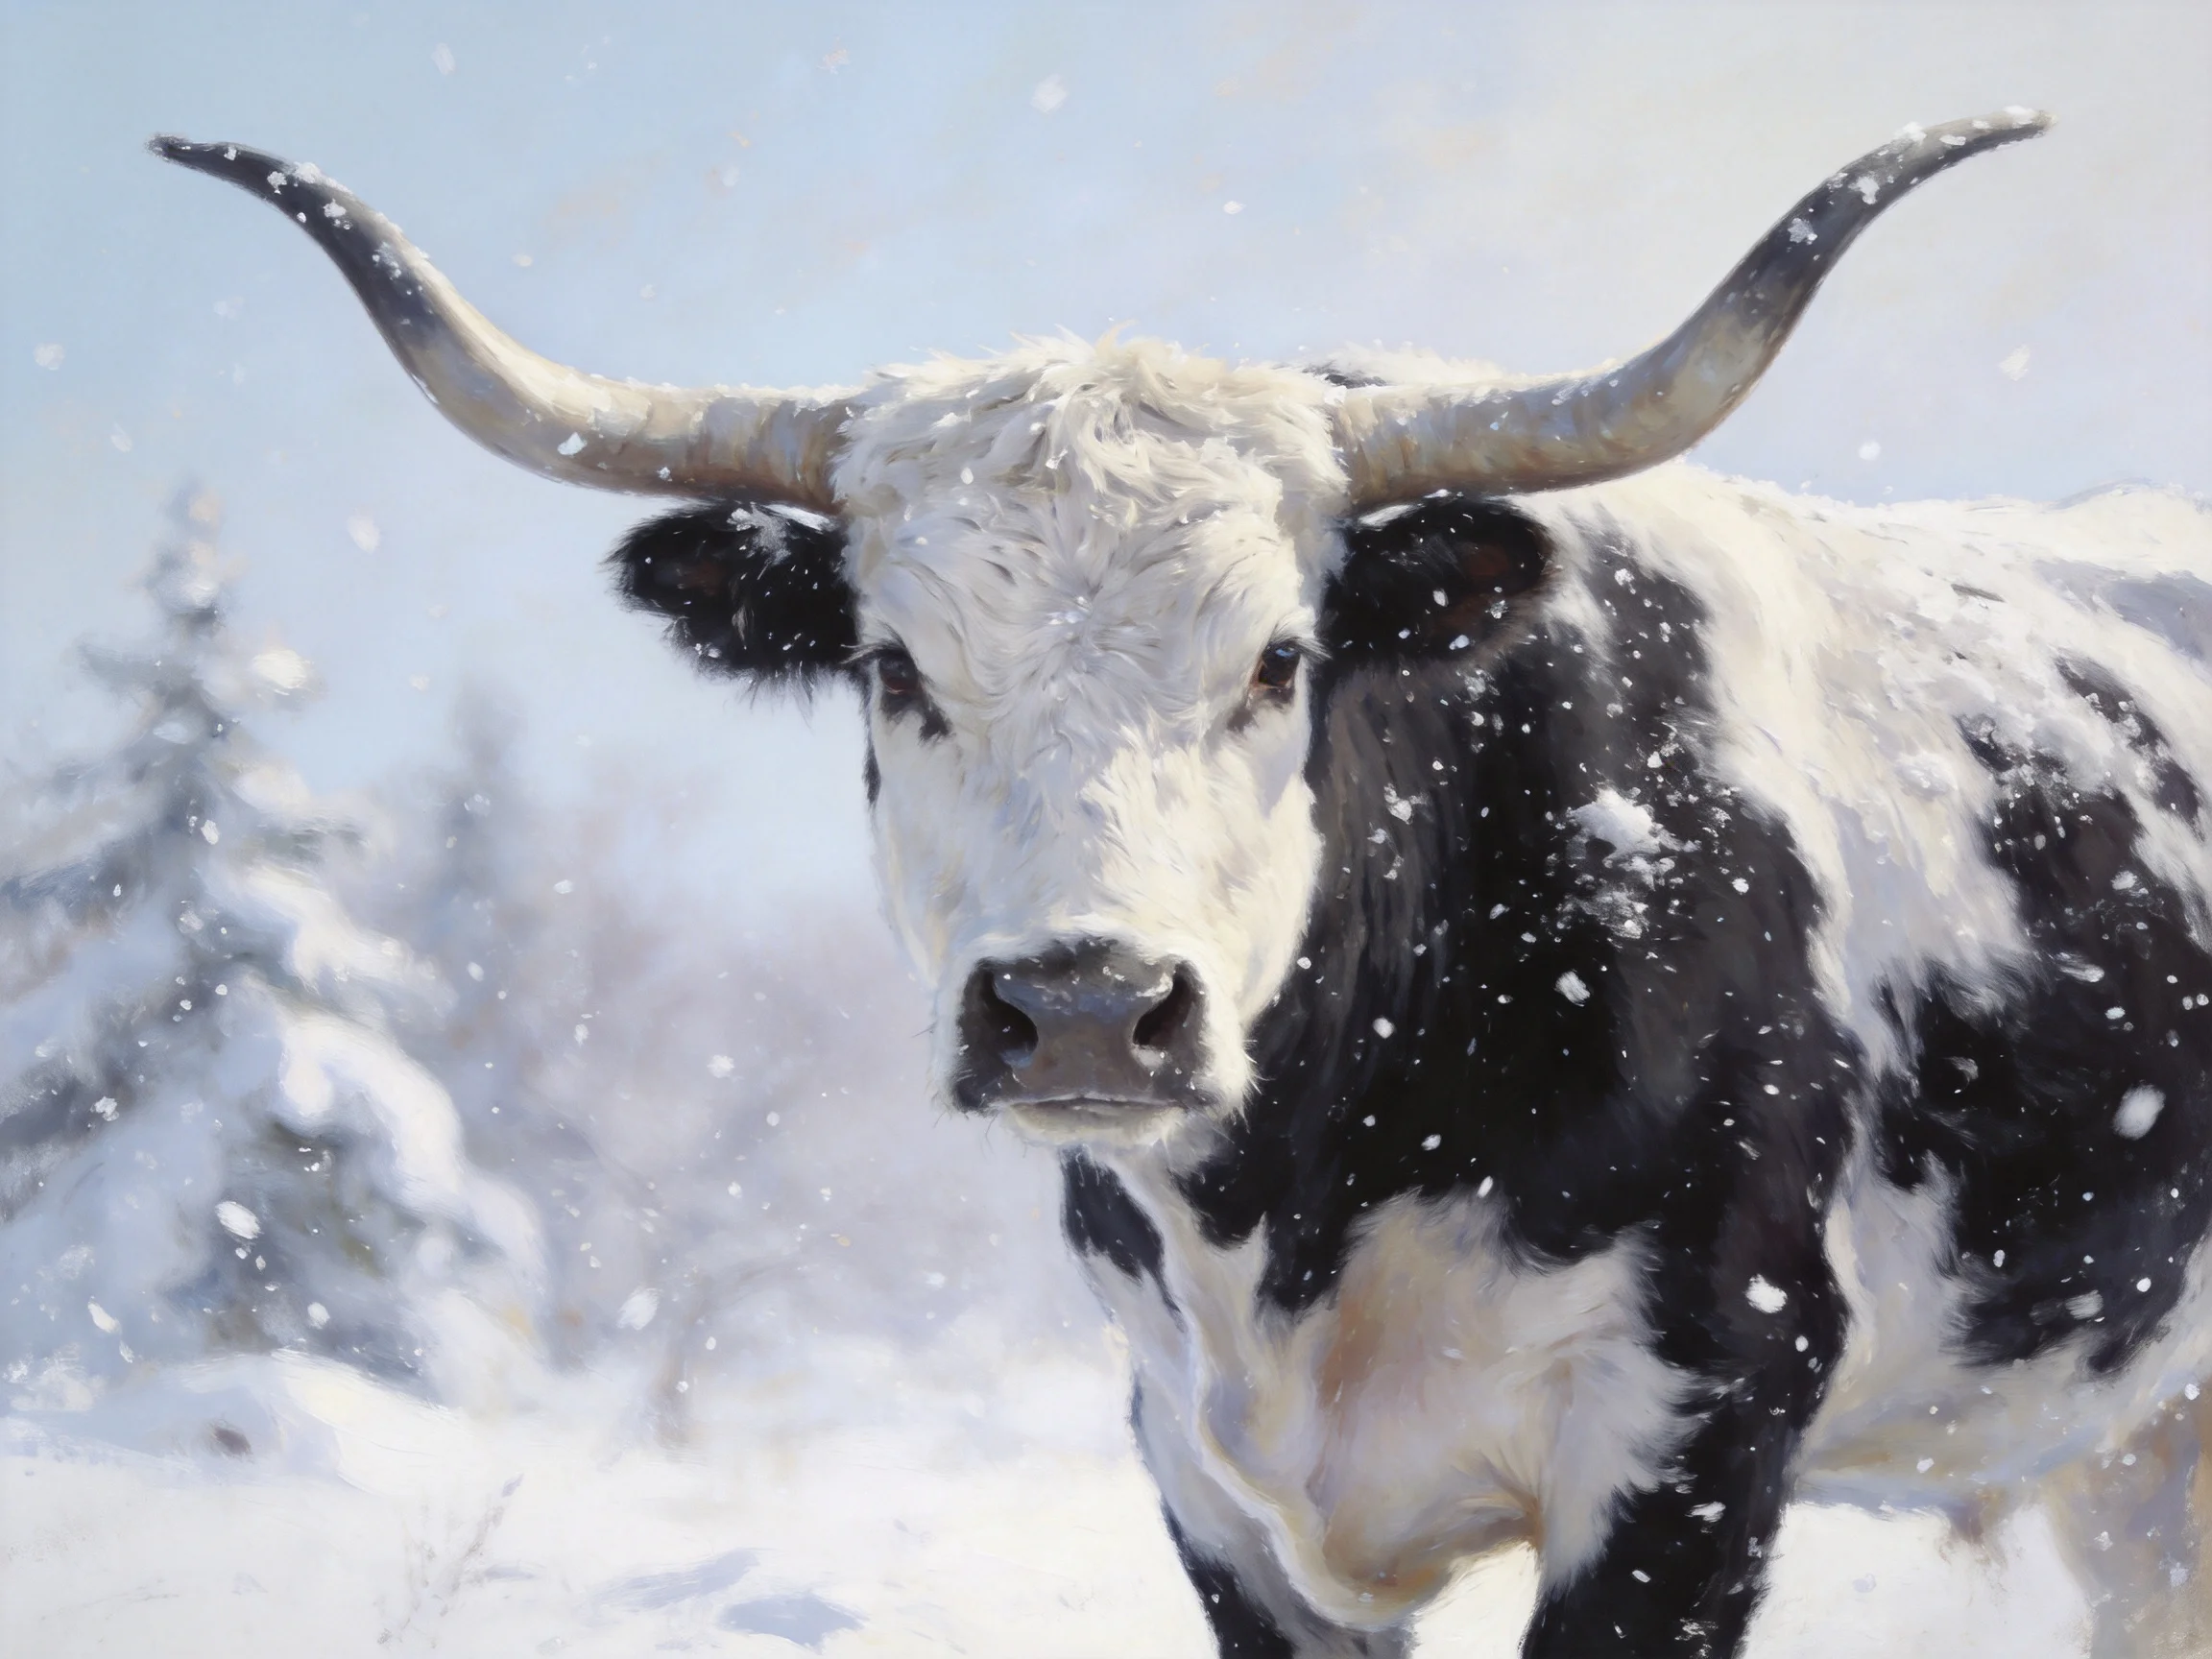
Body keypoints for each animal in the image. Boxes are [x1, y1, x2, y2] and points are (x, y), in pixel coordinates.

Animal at [157, 110, 2212, 1657]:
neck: (1304, 1202)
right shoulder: (1202, 1482)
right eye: (893, 667)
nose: (1081, 1005)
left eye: (1277, 661)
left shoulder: (1692, 1441)